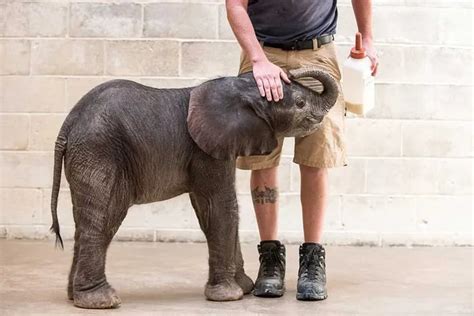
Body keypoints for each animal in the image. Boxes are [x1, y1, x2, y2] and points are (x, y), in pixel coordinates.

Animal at [51, 68, 336, 308]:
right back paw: (101, 301)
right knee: (102, 219)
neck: (241, 89)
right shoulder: (206, 149)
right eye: (300, 103)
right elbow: (220, 207)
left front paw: (244, 288)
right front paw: (229, 296)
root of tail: (68, 124)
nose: (289, 72)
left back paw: (74, 297)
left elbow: (219, 209)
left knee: (91, 221)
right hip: (99, 152)